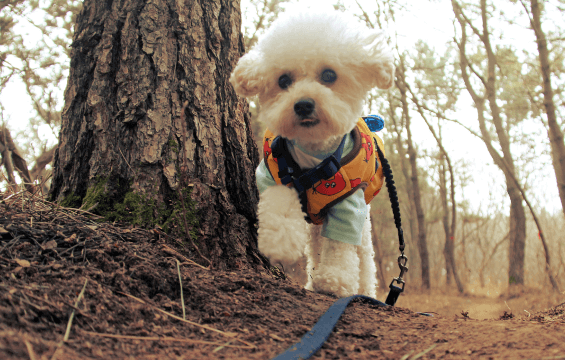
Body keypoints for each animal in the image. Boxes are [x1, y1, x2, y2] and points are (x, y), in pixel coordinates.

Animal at [228, 11, 392, 298]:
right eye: (283, 81)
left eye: (329, 75)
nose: (303, 104)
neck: (315, 159)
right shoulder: (273, 176)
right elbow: (279, 205)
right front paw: (279, 242)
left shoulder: (350, 203)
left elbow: (339, 243)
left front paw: (335, 279)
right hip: (316, 229)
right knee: (316, 249)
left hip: (363, 230)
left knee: (364, 262)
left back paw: (363, 290)